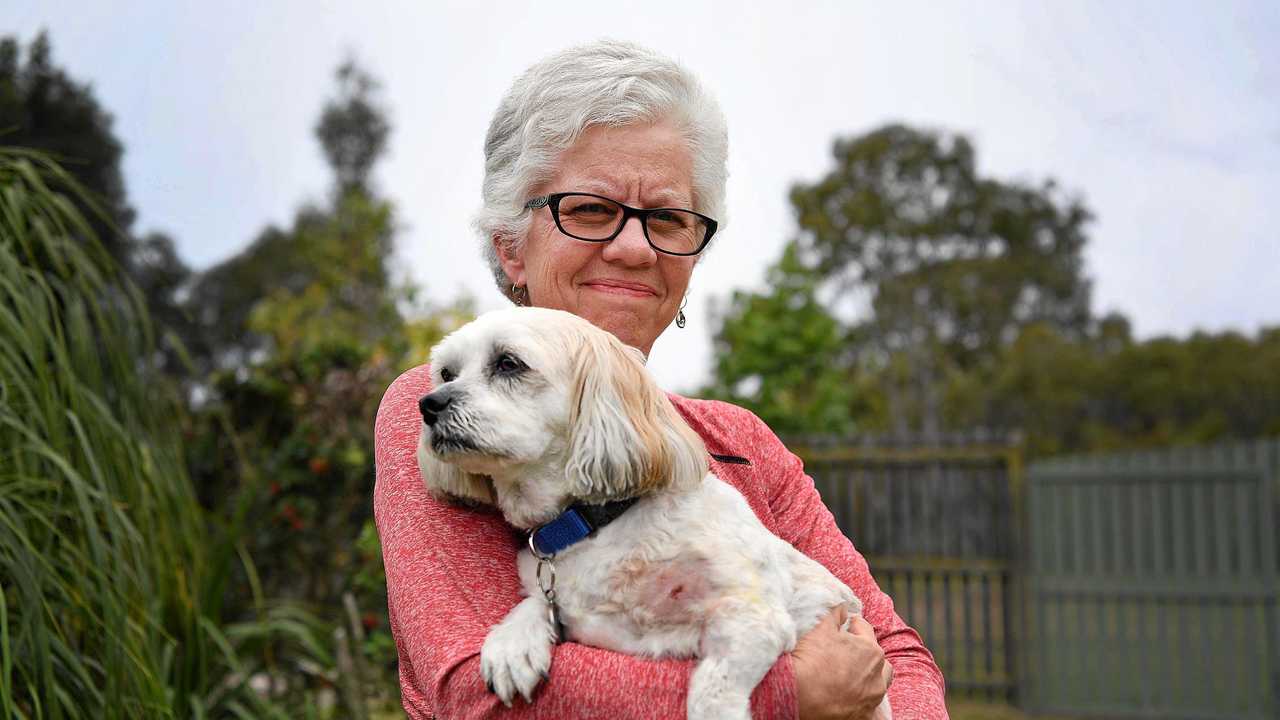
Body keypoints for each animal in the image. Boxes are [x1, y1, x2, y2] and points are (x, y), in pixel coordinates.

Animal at [417, 307, 890, 717]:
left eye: (508, 363)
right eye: (446, 373)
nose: (429, 404)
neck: (591, 522)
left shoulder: (753, 616)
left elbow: (712, 689)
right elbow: (536, 602)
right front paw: (512, 643)